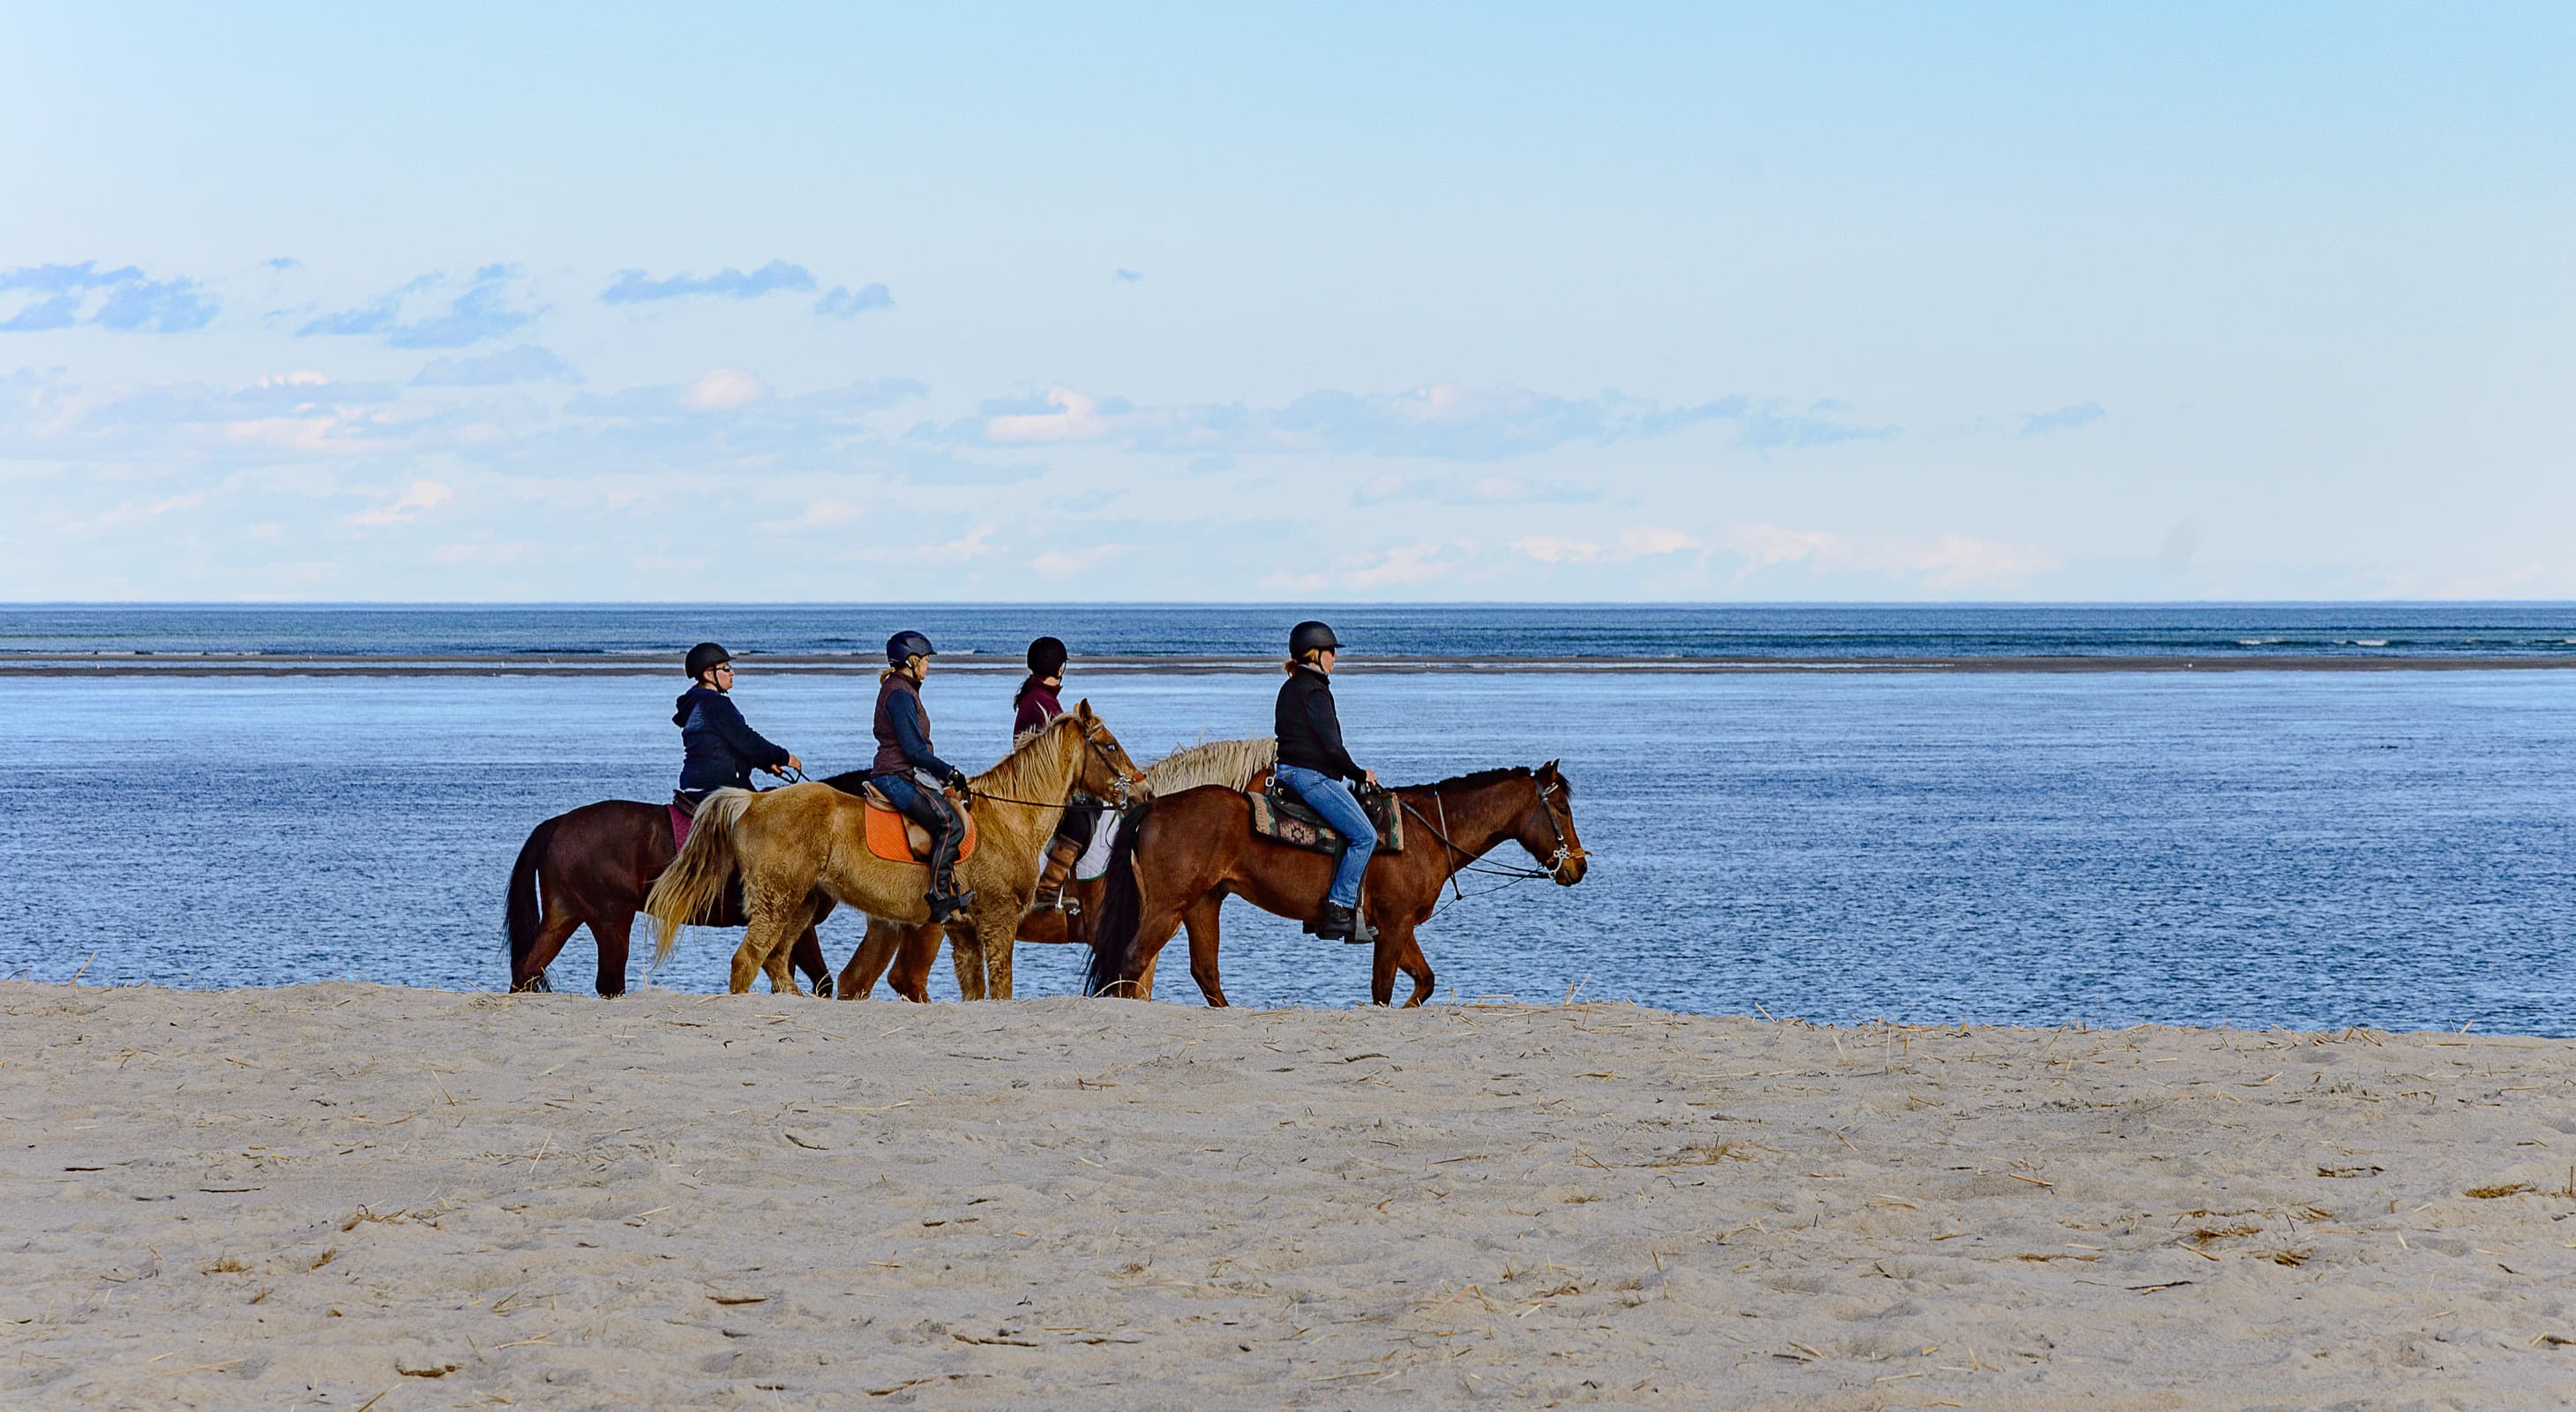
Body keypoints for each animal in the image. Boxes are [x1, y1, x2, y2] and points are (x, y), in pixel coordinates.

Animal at [502, 798, 836, 997]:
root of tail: (559, 822)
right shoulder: (797, 923)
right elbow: (821, 980)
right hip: (611, 919)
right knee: (609, 982)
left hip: (564, 914)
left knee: (527, 970)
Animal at [646, 704, 1148, 997]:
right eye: (1108, 746)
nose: (1141, 792)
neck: (1009, 819)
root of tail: (753, 801)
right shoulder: (999, 922)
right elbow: (1002, 989)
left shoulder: (964, 932)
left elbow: (976, 993)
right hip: (778, 900)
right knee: (747, 962)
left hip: (801, 903)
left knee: (776, 963)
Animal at [1082, 762, 1589, 1007]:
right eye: (1562, 808)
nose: (1579, 868)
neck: (1424, 833)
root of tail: (1155, 806)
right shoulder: (1395, 926)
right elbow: (1382, 991)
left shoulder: (1397, 927)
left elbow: (1424, 983)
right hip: (1167, 908)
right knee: (1133, 960)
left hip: (1203, 904)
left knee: (1205, 973)